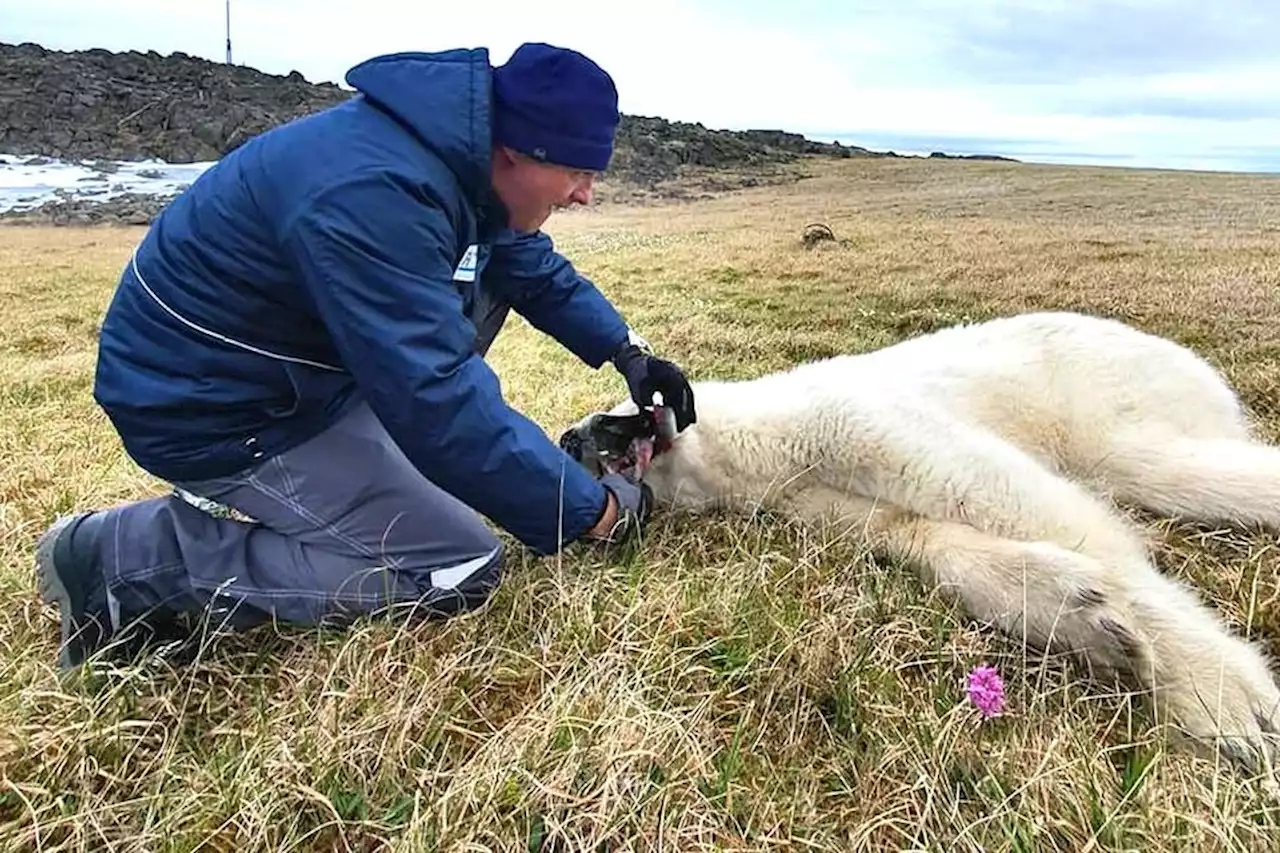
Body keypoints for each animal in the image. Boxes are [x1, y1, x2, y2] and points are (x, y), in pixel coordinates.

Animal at [563, 311, 1280, 778]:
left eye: (612, 410)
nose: (572, 438)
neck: (747, 447)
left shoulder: (844, 419)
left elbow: (1000, 493)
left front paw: (1225, 698)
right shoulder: (812, 497)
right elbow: (916, 534)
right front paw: (1085, 614)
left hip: (1106, 393)